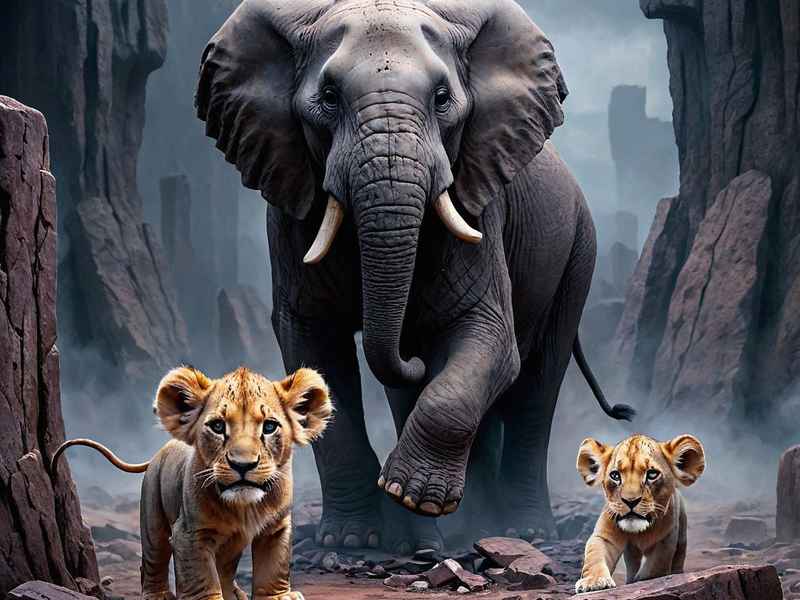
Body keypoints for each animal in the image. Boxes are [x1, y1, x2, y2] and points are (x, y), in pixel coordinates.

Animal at [195, 0, 634, 552]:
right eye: (329, 97)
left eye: (443, 98)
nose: (411, 355)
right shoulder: (290, 214)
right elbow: (311, 343)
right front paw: (351, 541)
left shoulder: (478, 205)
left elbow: (490, 337)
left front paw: (410, 496)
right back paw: (458, 530)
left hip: (578, 254)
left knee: (538, 381)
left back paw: (519, 529)